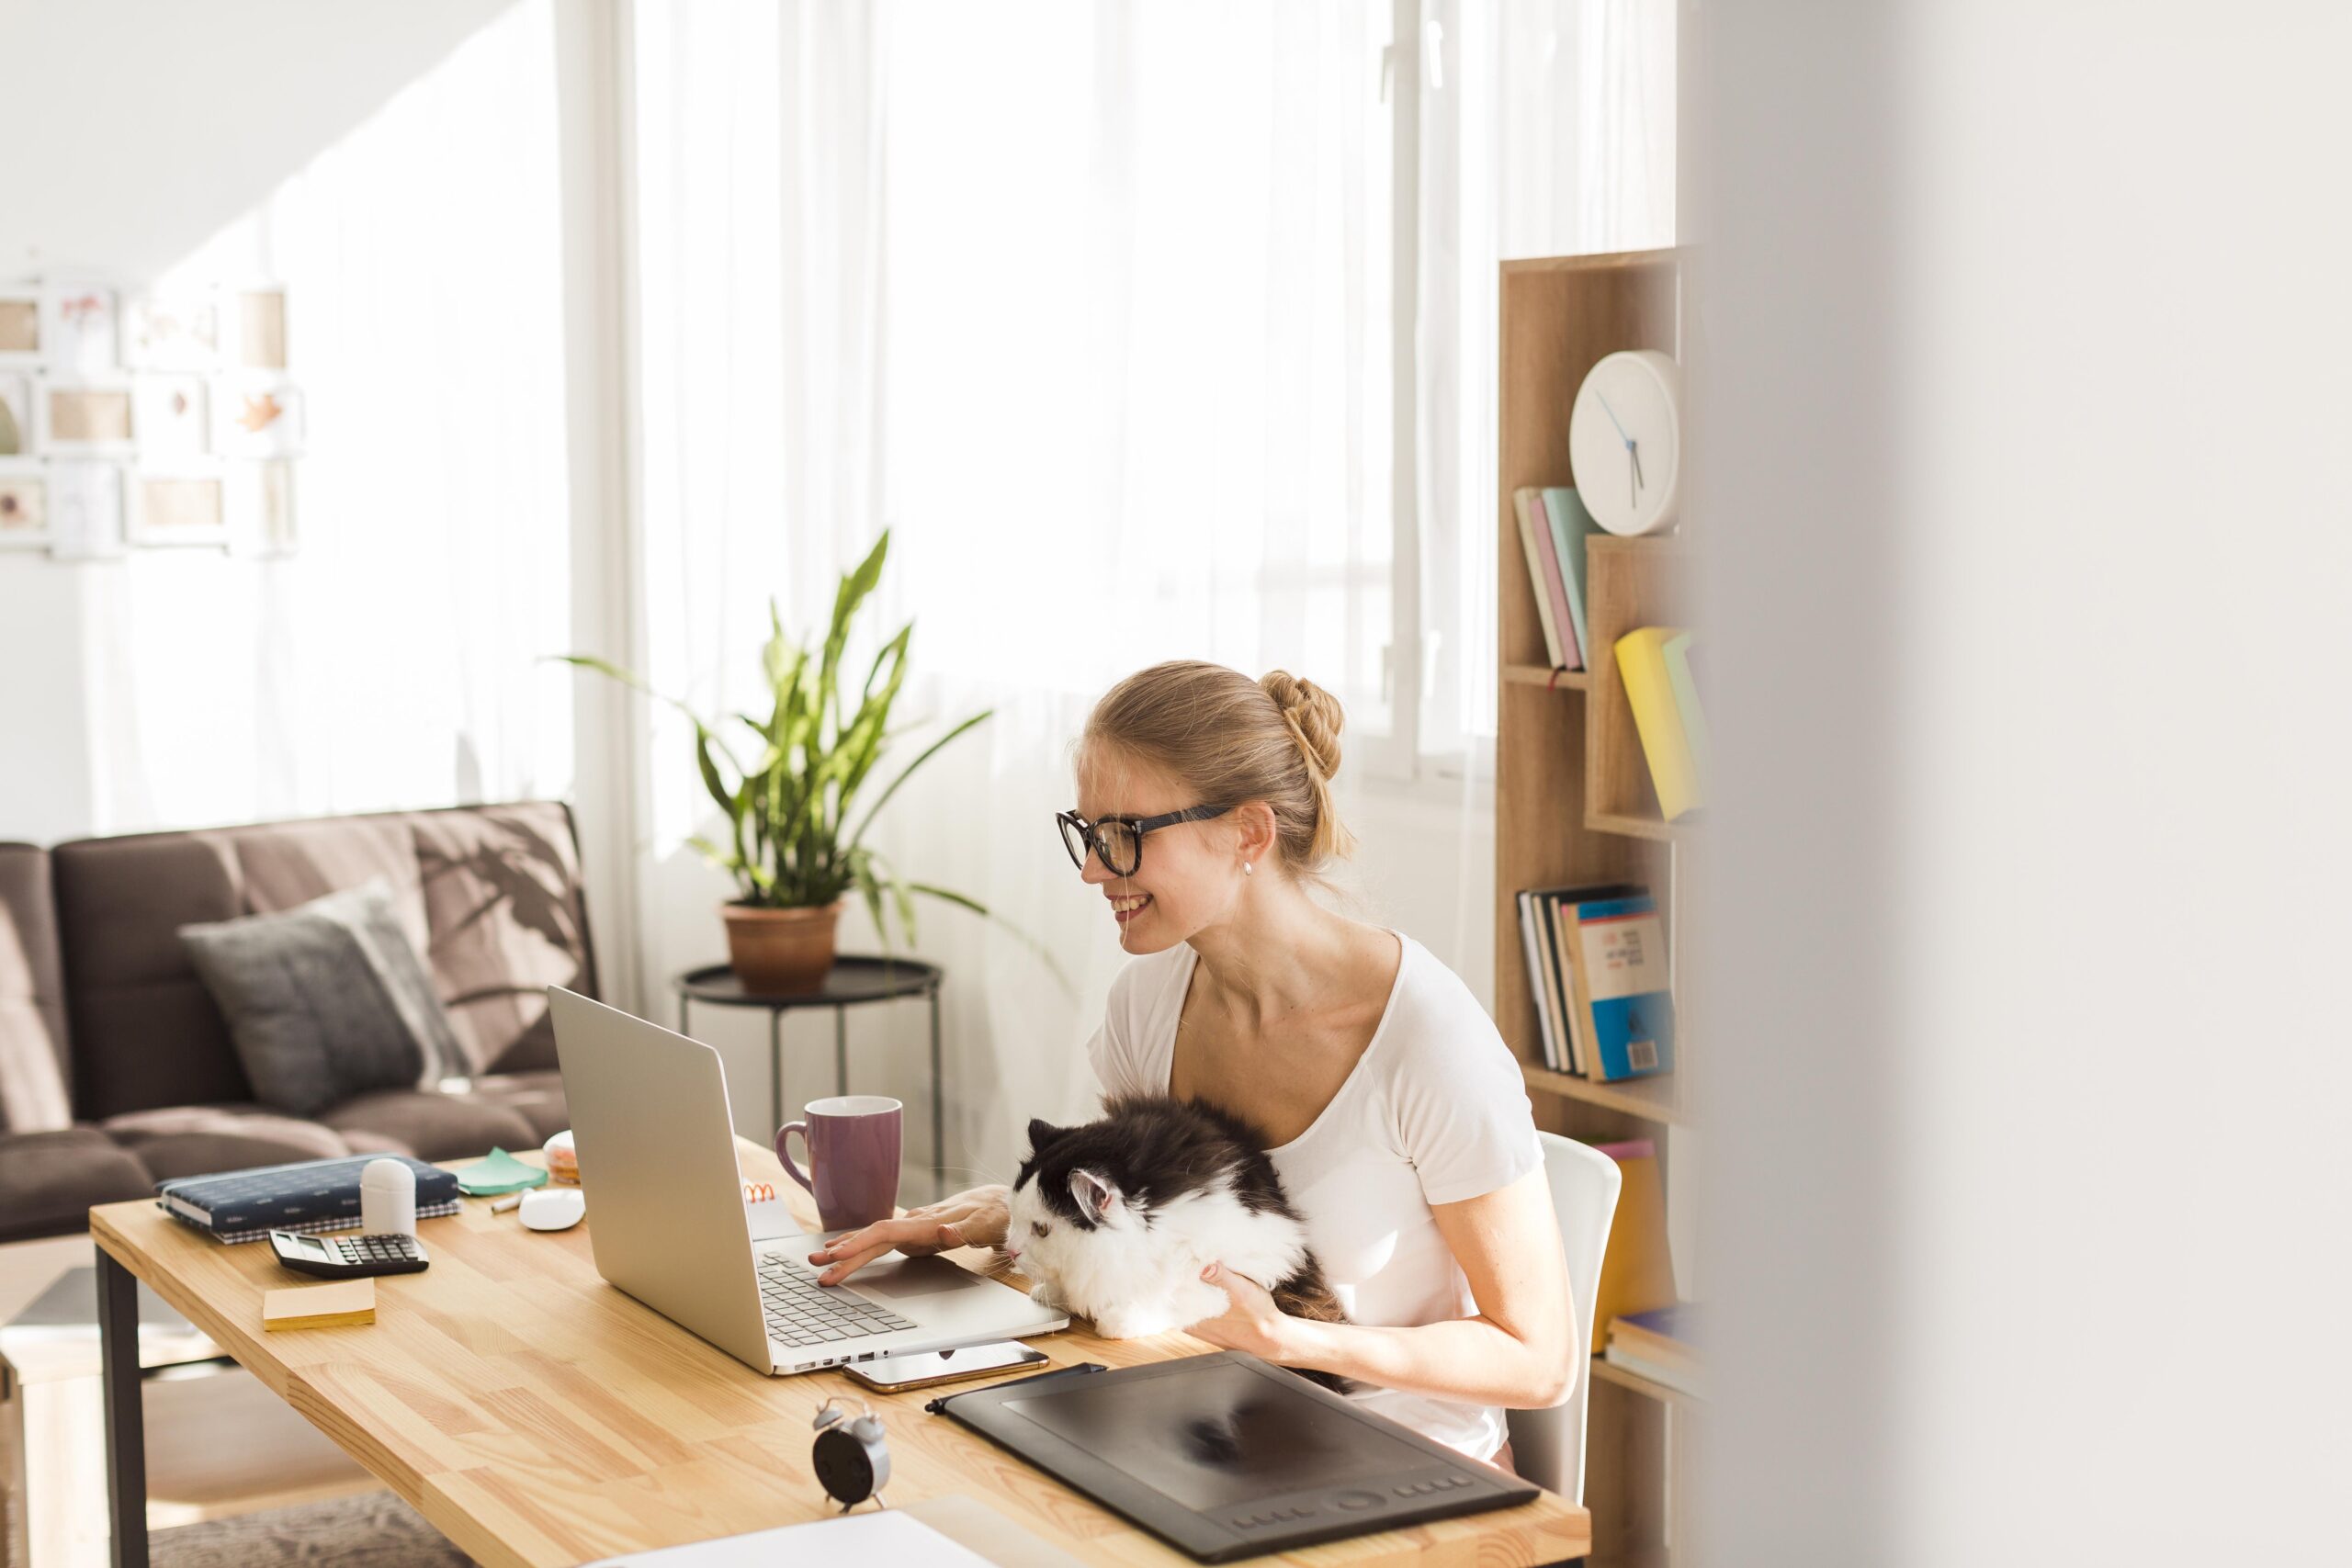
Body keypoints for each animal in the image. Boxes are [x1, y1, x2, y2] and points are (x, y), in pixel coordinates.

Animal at [1001, 1090, 1354, 1382]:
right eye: (1014, 1215)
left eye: (1042, 1229)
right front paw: (1050, 1292)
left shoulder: (1247, 1264)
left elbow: (1172, 1294)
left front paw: (1117, 1320)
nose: (1011, 1250)